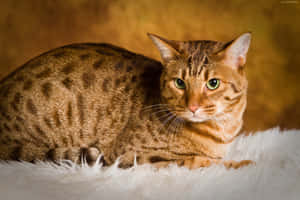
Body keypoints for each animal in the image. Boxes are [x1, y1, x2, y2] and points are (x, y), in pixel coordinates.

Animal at [0, 32, 253, 169]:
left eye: (213, 83)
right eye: (180, 83)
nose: (193, 107)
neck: (222, 129)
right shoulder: (134, 156)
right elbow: (201, 162)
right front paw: (242, 164)